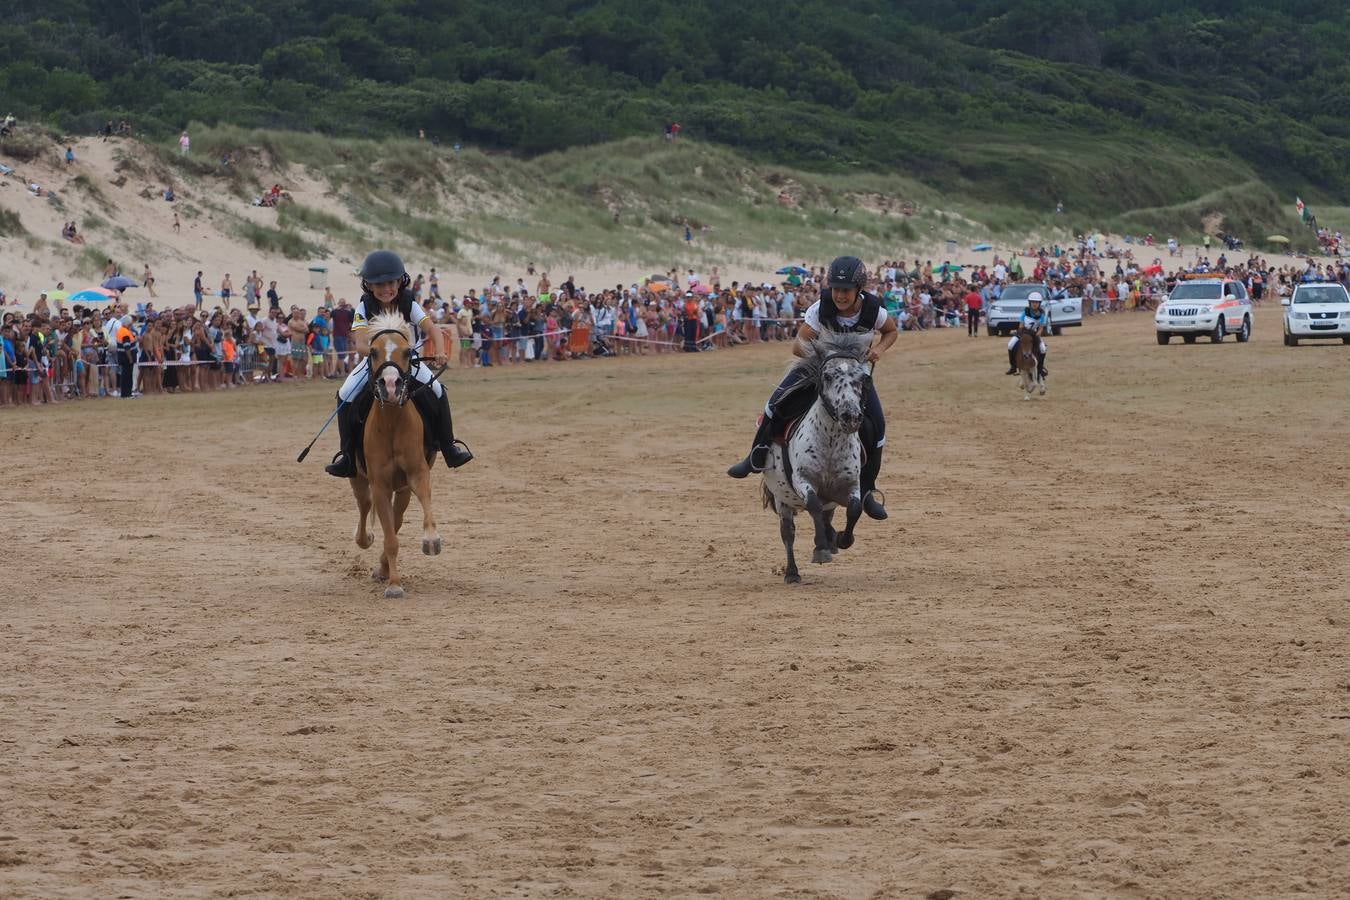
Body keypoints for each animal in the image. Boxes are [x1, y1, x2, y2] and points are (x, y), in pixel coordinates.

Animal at [353, 311, 442, 599]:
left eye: (407, 352)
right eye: (372, 352)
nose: (390, 386)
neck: (392, 422)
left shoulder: (416, 473)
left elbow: (423, 502)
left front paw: (431, 541)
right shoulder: (379, 484)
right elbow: (389, 537)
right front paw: (394, 584)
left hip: (401, 489)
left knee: (397, 517)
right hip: (359, 479)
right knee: (365, 506)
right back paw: (365, 539)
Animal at [761, 330, 874, 585]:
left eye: (862, 378)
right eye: (828, 376)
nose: (850, 416)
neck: (830, 442)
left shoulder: (851, 484)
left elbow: (855, 509)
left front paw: (842, 540)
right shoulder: (803, 480)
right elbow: (812, 504)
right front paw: (821, 550)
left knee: (826, 516)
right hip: (782, 500)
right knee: (788, 533)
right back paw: (792, 572)